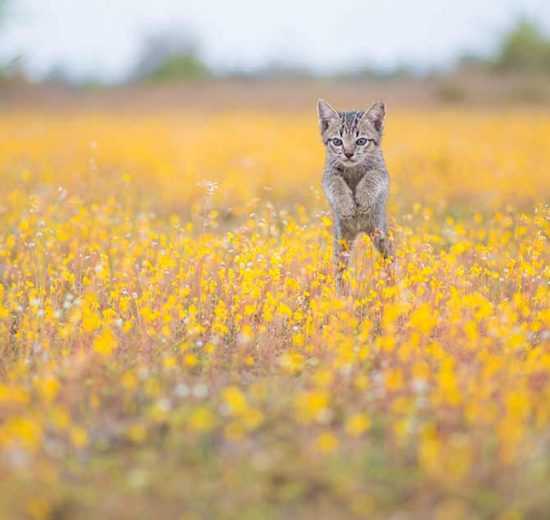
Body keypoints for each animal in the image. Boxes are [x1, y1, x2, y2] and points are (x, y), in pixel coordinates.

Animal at [316, 98, 394, 288]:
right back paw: (341, 292)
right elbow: (336, 183)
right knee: (340, 270)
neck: (353, 168)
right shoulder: (328, 174)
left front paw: (363, 199)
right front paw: (346, 206)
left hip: (380, 233)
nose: (349, 154)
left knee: (391, 260)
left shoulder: (381, 171)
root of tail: (360, 229)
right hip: (341, 240)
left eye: (361, 141)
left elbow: (371, 176)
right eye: (337, 141)